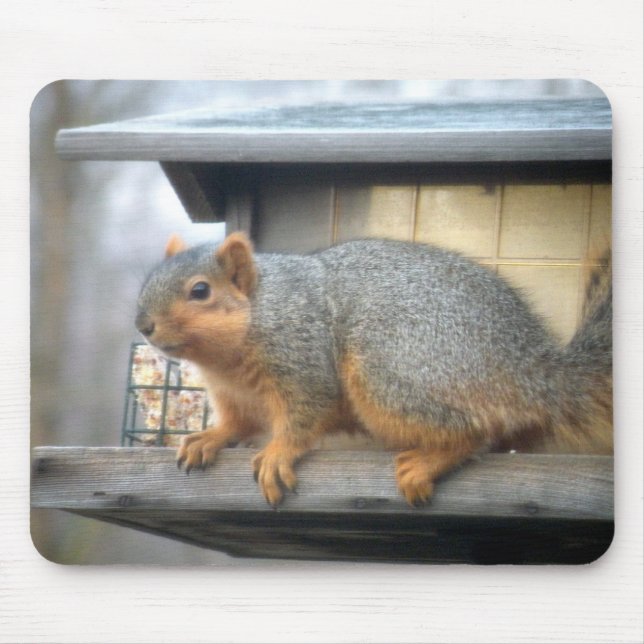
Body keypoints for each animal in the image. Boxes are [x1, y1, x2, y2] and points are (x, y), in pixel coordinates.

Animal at [135, 232, 613, 507]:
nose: (143, 325)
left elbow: (305, 414)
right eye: (147, 281)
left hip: (389, 369)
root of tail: (531, 369)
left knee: (475, 431)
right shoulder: (233, 395)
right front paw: (208, 438)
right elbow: (237, 423)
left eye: (200, 291)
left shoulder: (304, 359)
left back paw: (428, 462)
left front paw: (277, 453)